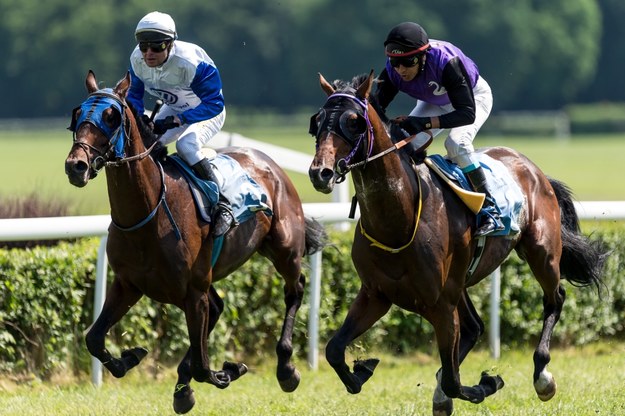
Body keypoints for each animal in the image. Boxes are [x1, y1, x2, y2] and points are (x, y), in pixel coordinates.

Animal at [64, 70, 326, 412]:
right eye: (77, 115)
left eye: (111, 117)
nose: (76, 166)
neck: (149, 212)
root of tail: (266, 161)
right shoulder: (128, 284)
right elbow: (93, 339)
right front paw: (131, 358)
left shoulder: (193, 290)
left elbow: (204, 367)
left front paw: (227, 370)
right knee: (218, 307)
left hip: (284, 250)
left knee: (294, 291)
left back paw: (286, 368)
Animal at [308, 72, 604, 416]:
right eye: (317, 121)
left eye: (354, 122)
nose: (320, 172)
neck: (397, 222)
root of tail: (531, 167)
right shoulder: (376, 294)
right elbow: (333, 350)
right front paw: (361, 370)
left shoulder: (439, 304)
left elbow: (453, 379)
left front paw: (486, 383)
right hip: (460, 281)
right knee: (475, 327)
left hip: (541, 251)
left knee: (554, 298)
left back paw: (542, 376)